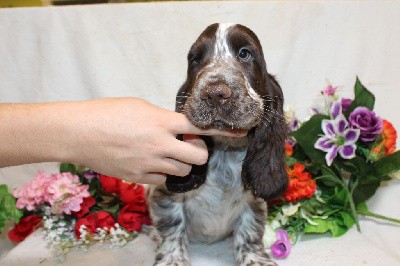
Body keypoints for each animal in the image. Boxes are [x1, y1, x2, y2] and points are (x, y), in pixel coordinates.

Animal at [147, 23, 288, 266]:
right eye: (195, 60)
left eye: (245, 53)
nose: (214, 93)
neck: (225, 150)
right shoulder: (166, 195)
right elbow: (172, 228)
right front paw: (172, 260)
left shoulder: (253, 202)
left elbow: (249, 231)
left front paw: (255, 260)